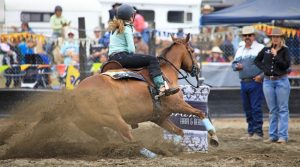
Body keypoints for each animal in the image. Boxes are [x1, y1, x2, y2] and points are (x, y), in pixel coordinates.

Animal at [76, 34, 219, 157]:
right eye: (192, 51)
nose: (197, 69)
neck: (165, 73)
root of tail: (76, 93)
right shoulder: (178, 105)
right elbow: (200, 113)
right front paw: (214, 138)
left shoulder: (160, 117)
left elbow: (179, 132)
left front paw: (173, 148)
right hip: (114, 119)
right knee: (131, 140)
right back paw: (153, 155)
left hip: (92, 126)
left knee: (109, 140)